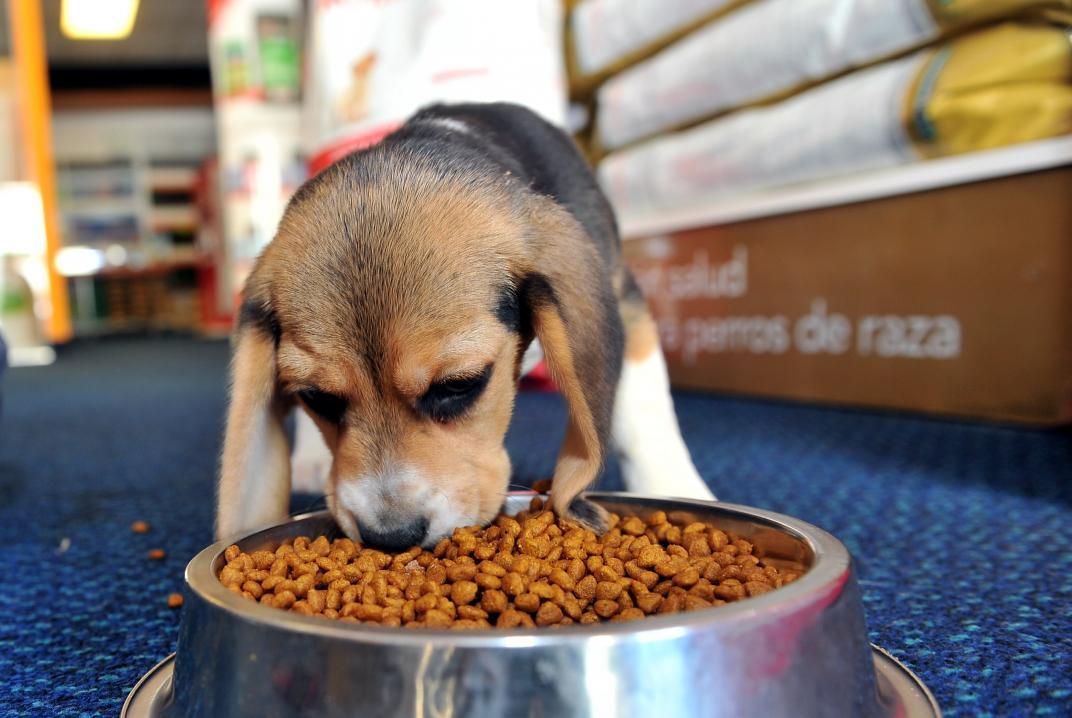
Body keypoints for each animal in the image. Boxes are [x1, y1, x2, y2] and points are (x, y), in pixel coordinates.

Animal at [214, 102, 716, 552]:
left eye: (459, 385)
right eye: (318, 398)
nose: (391, 538)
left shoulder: (625, 299)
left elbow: (645, 410)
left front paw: (676, 484)